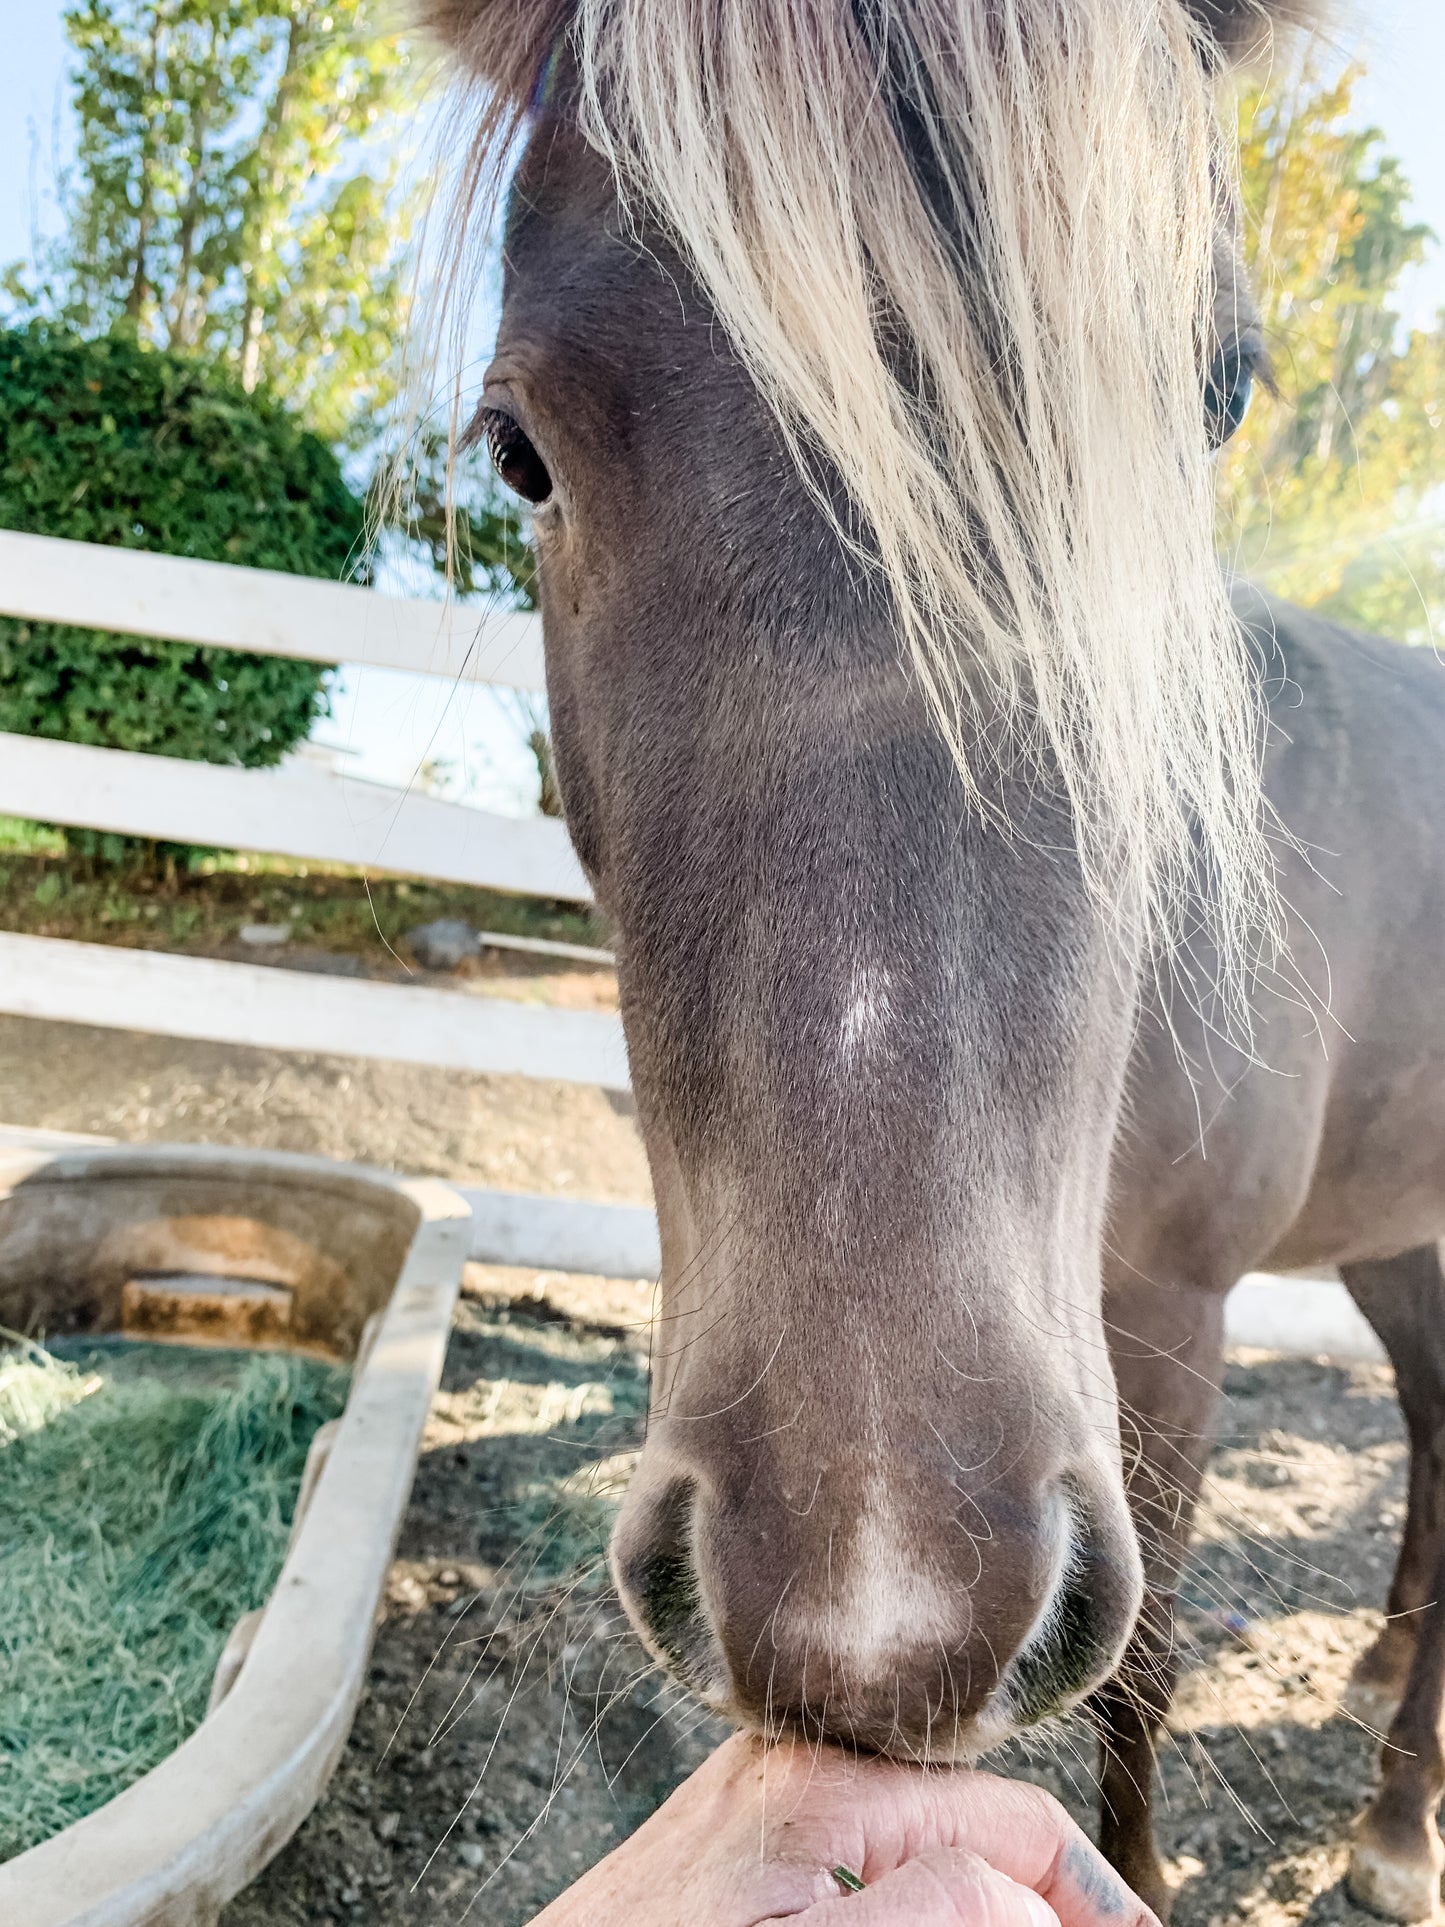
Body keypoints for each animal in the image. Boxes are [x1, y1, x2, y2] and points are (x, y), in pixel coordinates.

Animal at [421, 0, 1445, 1919]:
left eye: (1219, 391)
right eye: (520, 448)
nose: (879, 1601)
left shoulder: (1174, 1308)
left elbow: (1149, 1660)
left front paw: (1144, 1870)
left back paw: (1401, 1822)